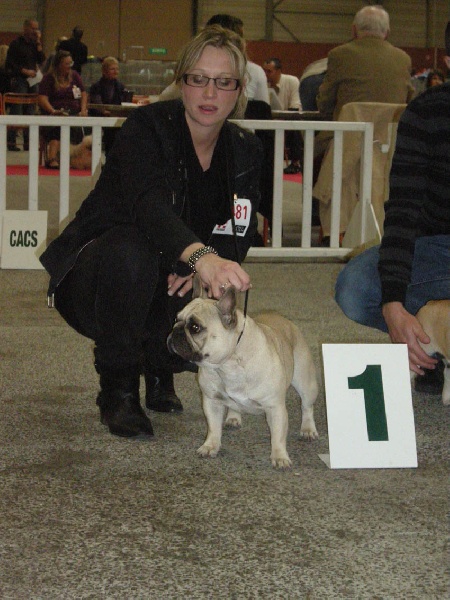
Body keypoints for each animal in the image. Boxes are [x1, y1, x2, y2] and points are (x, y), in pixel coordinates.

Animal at [167, 278, 319, 469]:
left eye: (195, 327)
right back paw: (233, 417)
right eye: (176, 318)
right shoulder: (211, 401)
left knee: (307, 406)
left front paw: (279, 457)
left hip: (305, 383)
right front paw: (210, 446)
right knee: (233, 405)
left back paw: (308, 429)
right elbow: (213, 427)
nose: (175, 330)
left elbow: (278, 435)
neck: (228, 364)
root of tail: (283, 319)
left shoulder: (275, 407)